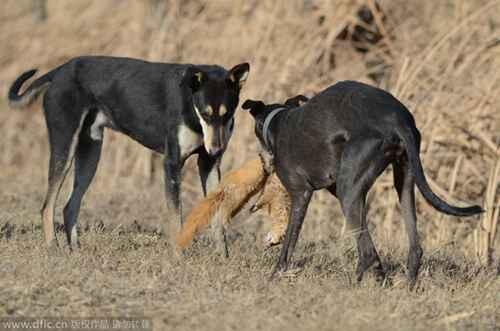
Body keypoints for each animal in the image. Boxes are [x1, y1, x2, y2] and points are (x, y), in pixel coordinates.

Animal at [7, 56, 250, 249]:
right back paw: (53, 248)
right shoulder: (172, 163)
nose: (216, 149)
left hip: (90, 155)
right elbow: (176, 218)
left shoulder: (208, 164)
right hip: (64, 148)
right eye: (205, 113)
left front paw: (222, 257)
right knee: (47, 207)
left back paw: (75, 251)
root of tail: (60, 70)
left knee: (69, 207)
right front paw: (178, 257)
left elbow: (218, 217)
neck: (190, 103)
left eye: (228, 115)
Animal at [241, 81, 480, 288]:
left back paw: (351, 287)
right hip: (402, 181)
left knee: (367, 253)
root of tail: (397, 119)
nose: (264, 164)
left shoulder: (301, 194)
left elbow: (289, 242)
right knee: (411, 248)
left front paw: (274, 277)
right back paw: (405, 286)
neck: (278, 122)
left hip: (349, 192)